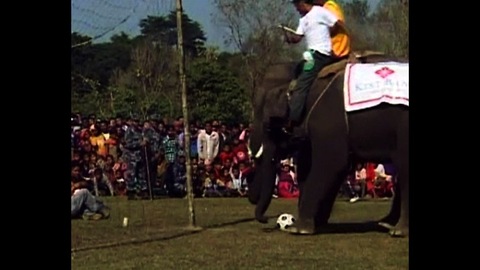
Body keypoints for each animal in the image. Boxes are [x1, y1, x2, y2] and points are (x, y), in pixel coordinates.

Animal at [248, 52, 408, 236]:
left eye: (267, 125)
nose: (266, 220)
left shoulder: (328, 118)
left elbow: (331, 164)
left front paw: (299, 228)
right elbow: (312, 169)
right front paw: (318, 224)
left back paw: (397, 230)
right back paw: (386, 223)